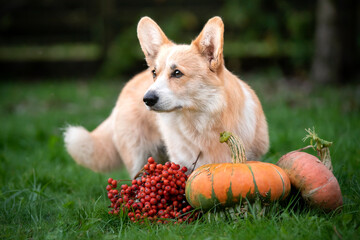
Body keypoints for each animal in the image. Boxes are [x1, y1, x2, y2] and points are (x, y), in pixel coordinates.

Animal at [64, 16, 268, 178]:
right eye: (154, 73)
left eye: (177, 73)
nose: (147, 99)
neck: (202, 121)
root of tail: (130, 83)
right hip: (139, 157)